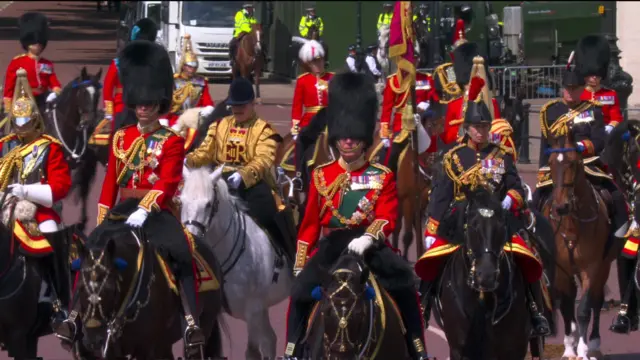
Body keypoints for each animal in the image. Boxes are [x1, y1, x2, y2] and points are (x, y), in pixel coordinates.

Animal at [178, 167, 292, 360]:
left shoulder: (253, 311)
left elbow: (252, 352)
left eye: (208, 204)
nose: (190, 241)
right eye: (181, 201)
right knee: (270, 339)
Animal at [544, 133, 616, 360]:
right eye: (551, 163)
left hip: (605, 266)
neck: (572, 225)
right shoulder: (561, 269)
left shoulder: (591, 267)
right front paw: (569, 347)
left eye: (573, 163)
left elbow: (584, 308)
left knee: (596, 300)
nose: (560, 207)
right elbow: (567, 307)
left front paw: (583, 349)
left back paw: (593, 343)